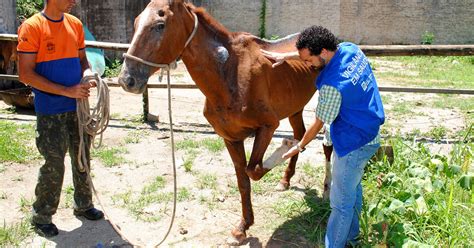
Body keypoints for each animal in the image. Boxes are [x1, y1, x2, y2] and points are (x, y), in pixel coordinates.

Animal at [118, 0, 334, 244]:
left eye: (160, 25)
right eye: (136, 22)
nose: (127, 79)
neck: (229, 72)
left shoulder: (268, 126)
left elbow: (254, 170)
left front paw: (283, 148)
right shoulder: (230, 138)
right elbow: (243, 181)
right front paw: (242, 228)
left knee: (327, 146)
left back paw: (327, 191)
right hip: (295, 107)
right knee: (301, 133)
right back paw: (285, 179)